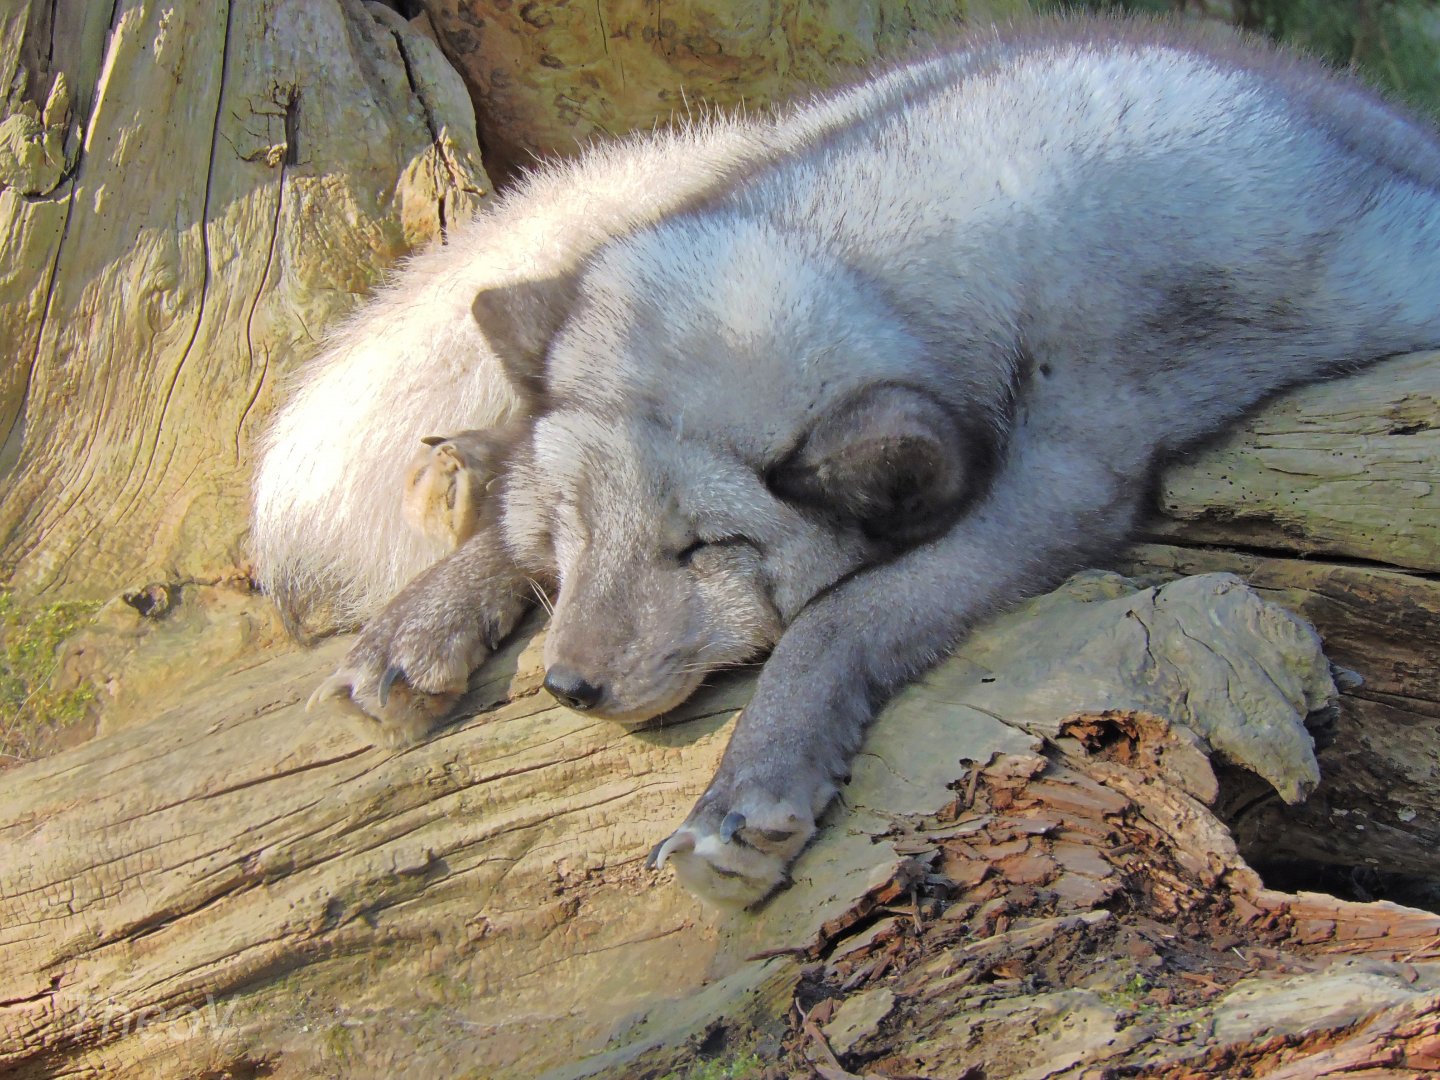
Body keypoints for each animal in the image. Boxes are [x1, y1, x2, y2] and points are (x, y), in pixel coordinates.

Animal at [254, 18, 1440, 906]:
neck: (884, 253)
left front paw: (748, 788)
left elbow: (835, 621)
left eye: (708, 550)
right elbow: (523, 518)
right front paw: (444, 600)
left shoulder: (1066, 479)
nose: (569, 688)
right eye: (577, 530)